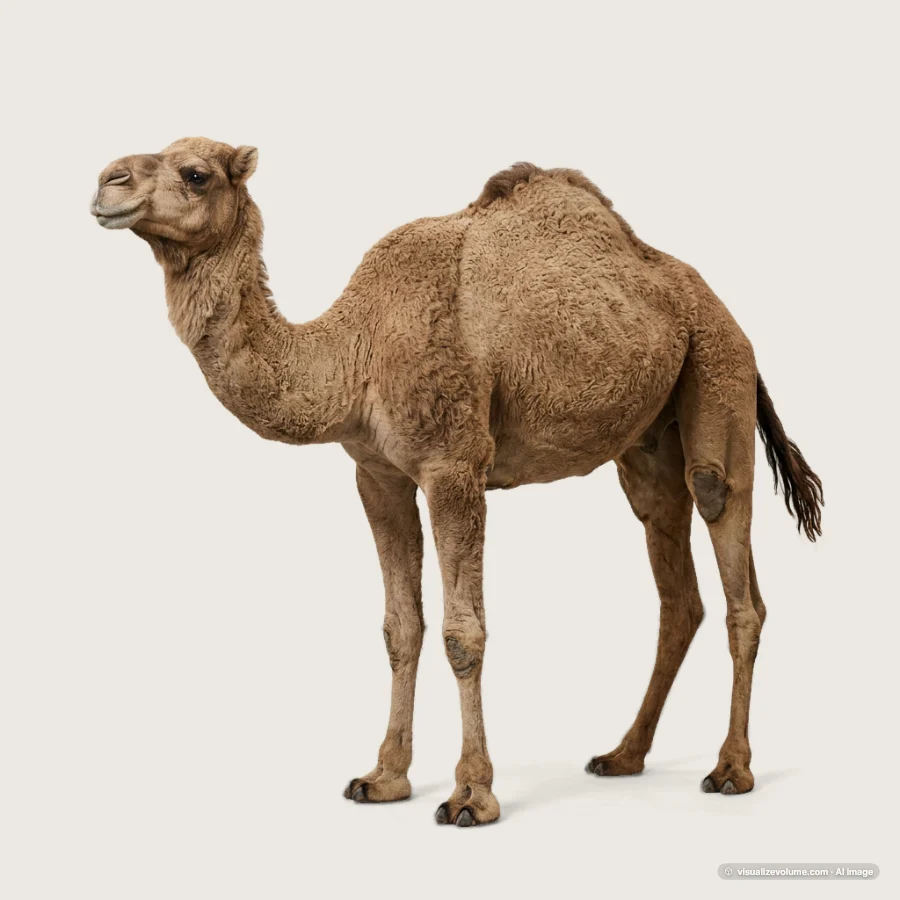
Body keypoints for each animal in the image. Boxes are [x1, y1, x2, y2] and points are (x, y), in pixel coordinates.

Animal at [91, 138, 823, 827]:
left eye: (195, 174)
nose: (107, 182)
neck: (356, 350)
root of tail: (717, 306)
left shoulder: (454, 466)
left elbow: (461, 633)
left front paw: (472, 794)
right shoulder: (377, 475)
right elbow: (400, 627)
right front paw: (384, 777)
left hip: (718, 369)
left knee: (729, 543)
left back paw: (731, 769)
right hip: (645, 440)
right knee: (676, 581)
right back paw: (622, 755)